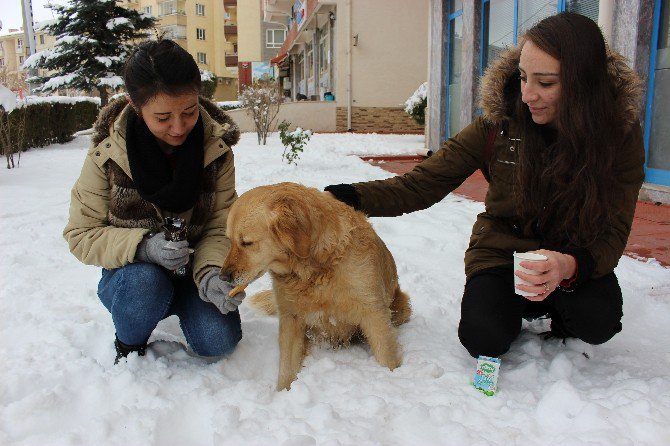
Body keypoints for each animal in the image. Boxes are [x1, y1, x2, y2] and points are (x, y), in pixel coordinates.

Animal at [222, 181, 410, 390]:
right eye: (229, 240)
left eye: (246, 242)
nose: (223, 276)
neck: (314, 270)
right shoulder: (291, 318)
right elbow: (286, 368)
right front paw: (283, 392)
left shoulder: (374, 313)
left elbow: (386, 356)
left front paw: (392, 378)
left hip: (401, 308)